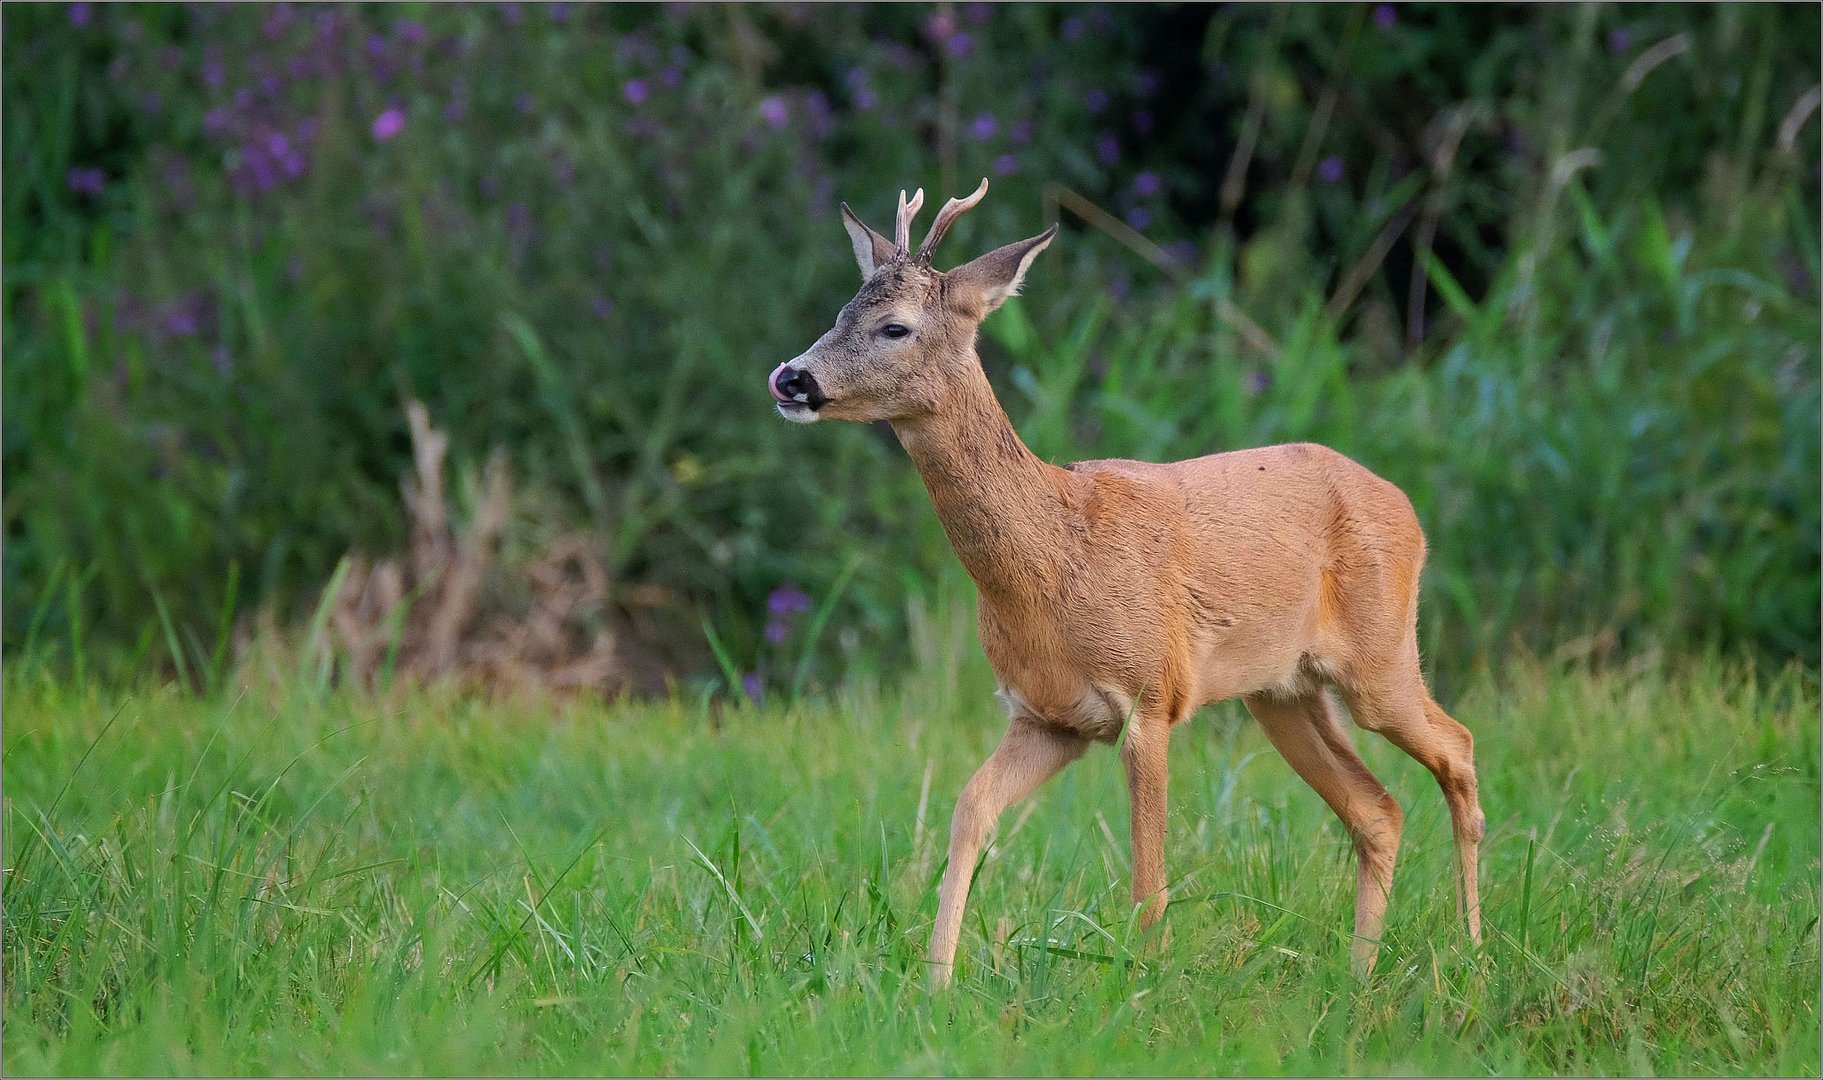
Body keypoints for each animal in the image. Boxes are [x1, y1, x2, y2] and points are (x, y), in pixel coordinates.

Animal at [769, 179, 1480, 985]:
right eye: (838, 313)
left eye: (895, 327)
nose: (790, 378)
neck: (1052, 561)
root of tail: (1408, 509)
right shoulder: (1046, 717)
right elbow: (970, 810)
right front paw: (936, 982)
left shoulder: (1150, 696)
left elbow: (1148, 876)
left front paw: (1146, 984)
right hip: (1283, 691)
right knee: (1376, 809)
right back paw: (1359, 972)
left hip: (1379, 656)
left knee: (1457, 748)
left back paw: (1471, 946)